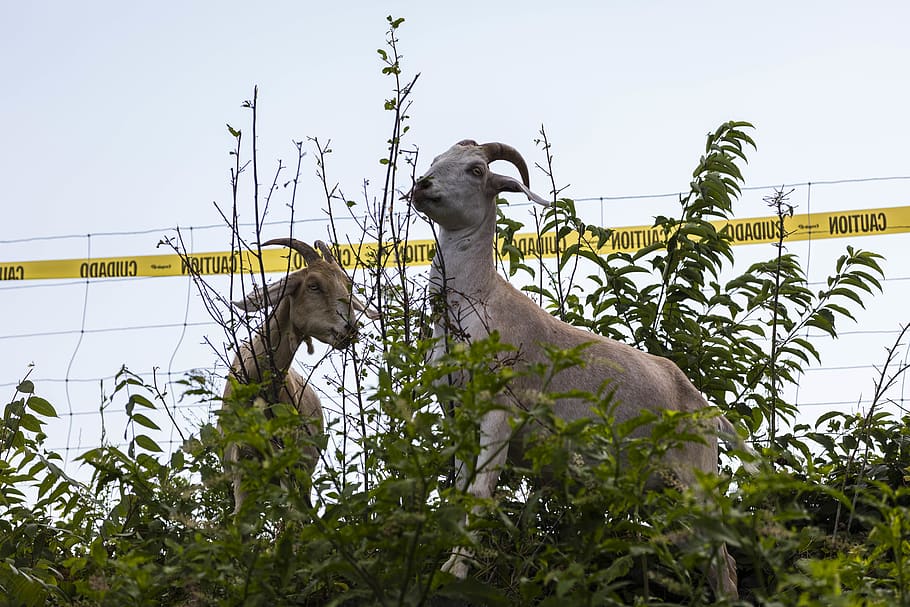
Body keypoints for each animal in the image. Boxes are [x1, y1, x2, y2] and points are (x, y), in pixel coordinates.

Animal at [410, 140, 741, 598]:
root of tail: (710, 413)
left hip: (696, 482)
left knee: (724, 561)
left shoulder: (499, 413)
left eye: (476, 170)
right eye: (435, 160)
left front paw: (454, 572)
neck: (478, 304)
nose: (422, 186)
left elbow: (480, 492)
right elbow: (460, 491)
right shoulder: (460, 415)